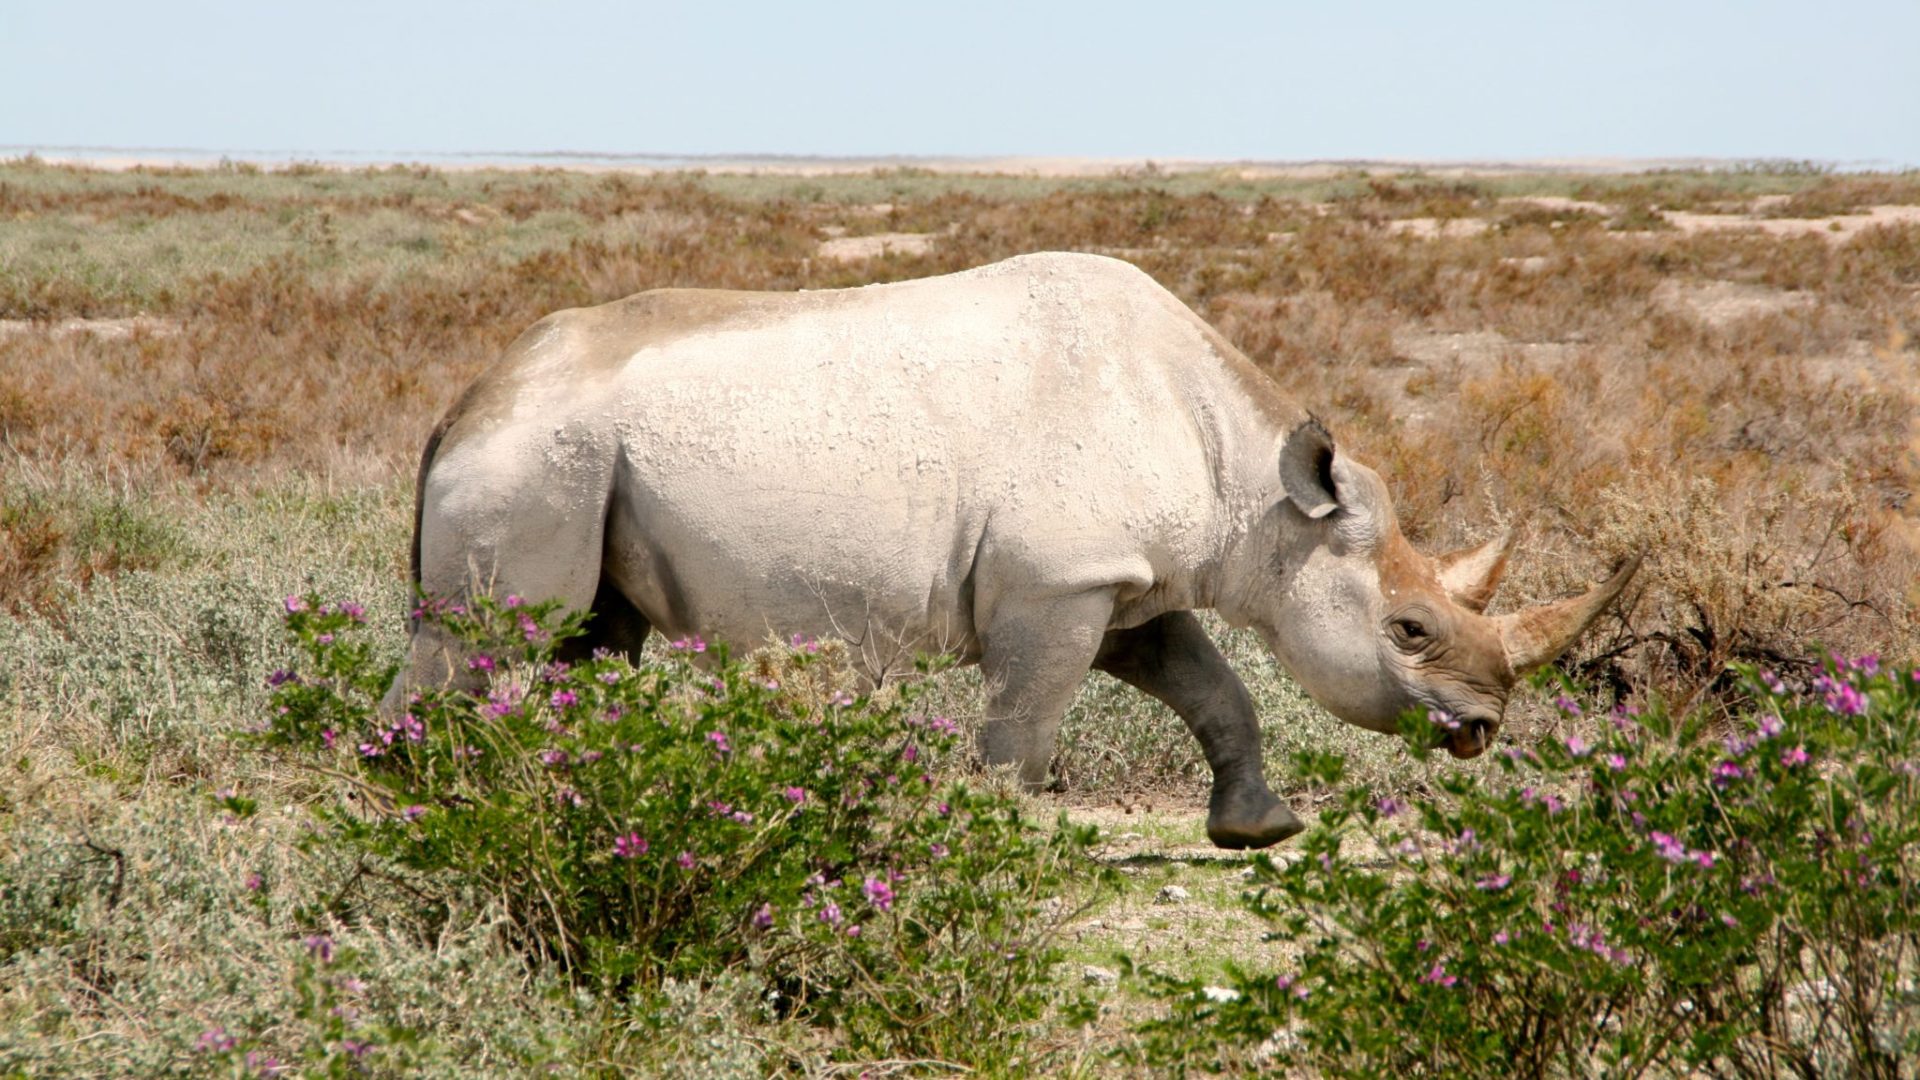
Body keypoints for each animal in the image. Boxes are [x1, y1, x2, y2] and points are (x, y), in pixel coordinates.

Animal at [387, 252, 1636, 849]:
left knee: (591, 643)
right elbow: (1026, 724)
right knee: (495, 637)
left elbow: (1214, 687)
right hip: (535, 455)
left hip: (570, 459)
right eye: (1410, 629)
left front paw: (1258, 828)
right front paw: (994, 836)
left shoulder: (1128, 585)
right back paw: (407, 805)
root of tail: (462, 399)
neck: (1262, 499)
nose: (1484, 728)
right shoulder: (1058, 581)